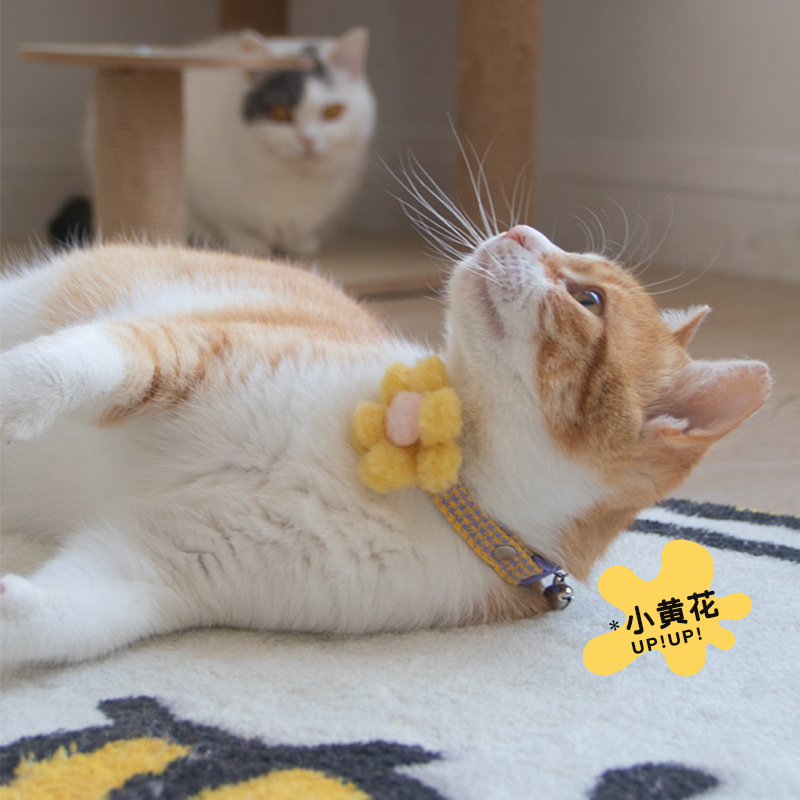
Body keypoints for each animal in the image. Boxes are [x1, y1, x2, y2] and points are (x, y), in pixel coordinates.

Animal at [0, 222, 770, 666]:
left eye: (588, 300)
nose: (523, 229)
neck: (428, 482)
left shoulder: (167, 567)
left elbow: (69, 613)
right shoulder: (186, 349)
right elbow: (74, 363)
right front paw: (13, 391)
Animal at [49, 28, 376, 256]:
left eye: (332, 112)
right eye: (280, 113)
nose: (308, 141)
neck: (295, 184)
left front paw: (301, 242)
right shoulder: (204, 190)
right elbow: (230, 221)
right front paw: (249, 243)